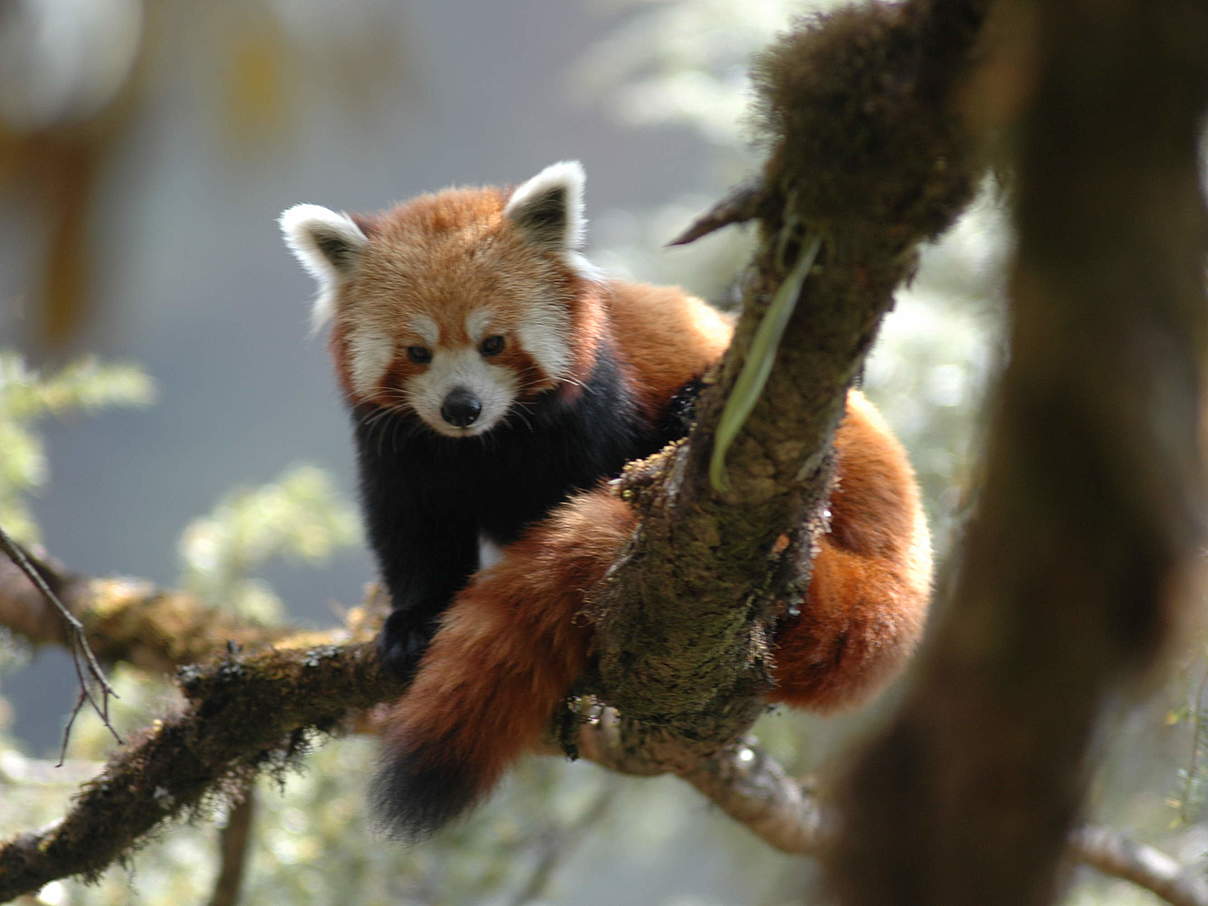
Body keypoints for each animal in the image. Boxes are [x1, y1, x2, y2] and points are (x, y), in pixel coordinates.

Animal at [280, 163, 724, 676]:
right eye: (417, 352)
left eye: (492, 343)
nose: (460, 407)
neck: (486, 442)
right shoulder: (397, 448)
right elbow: (412, 530)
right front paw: (414, 618)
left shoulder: (595, 417)